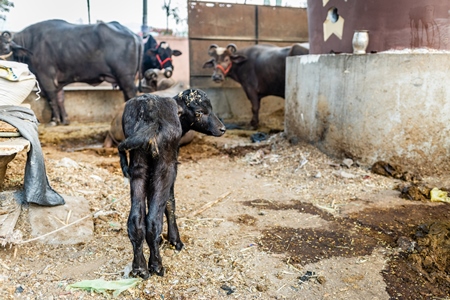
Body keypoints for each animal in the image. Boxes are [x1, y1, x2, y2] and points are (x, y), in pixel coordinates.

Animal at [0, 19, 142, 125]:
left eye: (5, 48)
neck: (31, 43)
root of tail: (134, 35)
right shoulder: (57, 81)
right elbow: (60, 98)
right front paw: (65, 119)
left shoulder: (45, 77)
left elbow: (51, 98)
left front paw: (55, 120)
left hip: (126, 77)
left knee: (131, 94)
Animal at [118, 89, 225, 278]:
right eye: (199, 112)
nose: (222, 129)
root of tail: (149, 112)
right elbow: (170, 203)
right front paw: (175, 241)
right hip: (165, 168)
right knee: (153, 219)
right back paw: (157, 266)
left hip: (138, 165)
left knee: (135, 219)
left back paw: (139, 268)